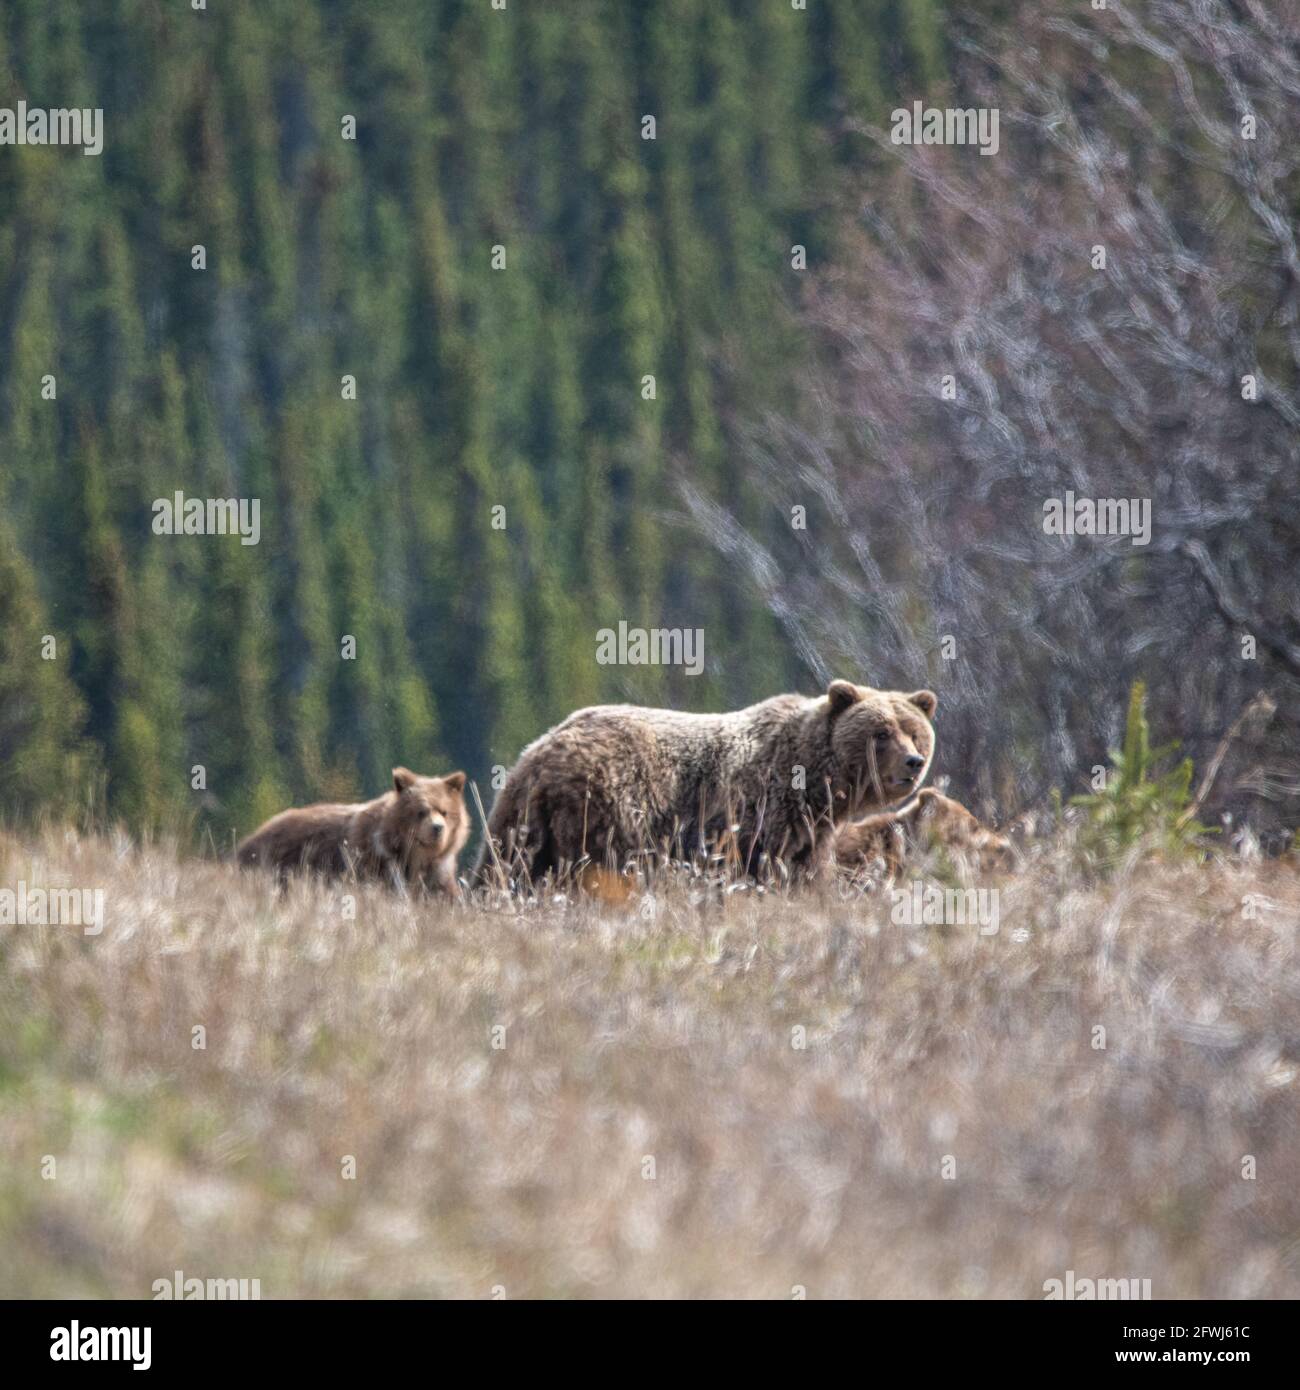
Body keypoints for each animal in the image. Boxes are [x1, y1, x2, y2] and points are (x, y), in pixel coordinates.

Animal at [474, 680, 936, 888]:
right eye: (881, 732)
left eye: (915, 732)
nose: (913, 762)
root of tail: (542, 748)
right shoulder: (756, 813)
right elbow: (757, 867)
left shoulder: (810, 831)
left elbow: (806, 871)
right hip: (603, 807)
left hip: (523, 816)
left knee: (506, 864)